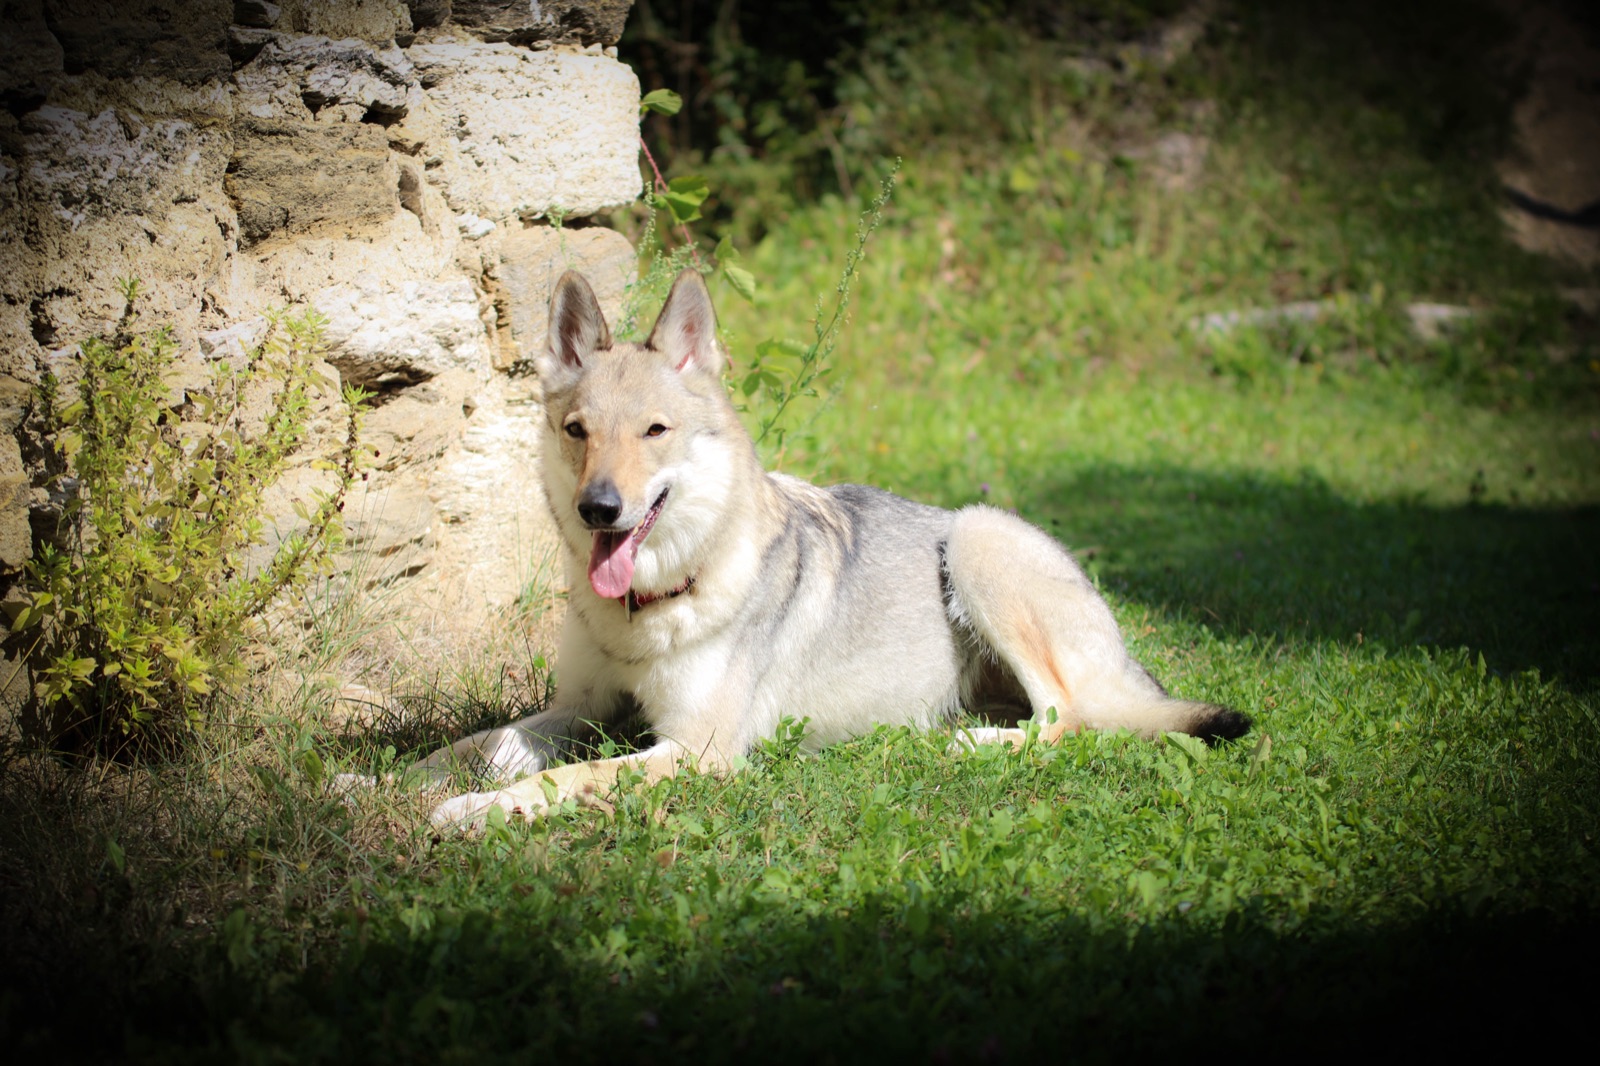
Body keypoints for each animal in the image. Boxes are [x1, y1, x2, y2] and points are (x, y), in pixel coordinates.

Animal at [422, 270, 1249, 826]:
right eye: (578, 432)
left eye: (654, 431)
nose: (599, 509)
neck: (654, 602)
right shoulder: (581, 708)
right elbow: (480, 744)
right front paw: (397, 777)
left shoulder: (695, 750)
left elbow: (563, 780)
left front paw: (470, 812)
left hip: (977, 536)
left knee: (1067, 720)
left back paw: (966, 744)